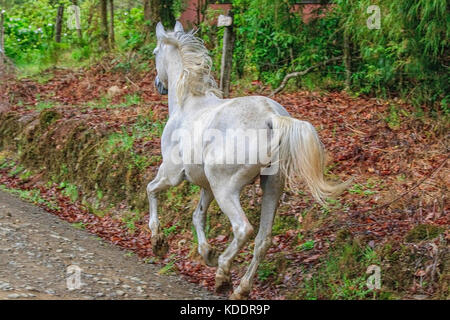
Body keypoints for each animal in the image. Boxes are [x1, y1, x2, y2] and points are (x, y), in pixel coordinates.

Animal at [149, 21, 350, 298]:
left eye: (155, 52)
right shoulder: (206, 186)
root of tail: (271, 116)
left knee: (243, 229)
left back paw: (223, 275)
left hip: (226, 189)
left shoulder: (171, 175)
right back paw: (241, 288)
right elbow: (198, 216)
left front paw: (158, 241)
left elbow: (151, 190)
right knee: (263, 239)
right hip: (270, 187)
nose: (158, 84)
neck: (188, 103)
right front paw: (207, 254)